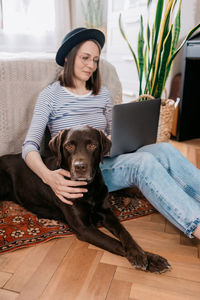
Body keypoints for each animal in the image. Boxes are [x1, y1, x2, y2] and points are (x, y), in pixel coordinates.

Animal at [0, 125, 170, 274]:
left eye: (92, 145)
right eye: (68, 146)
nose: (80, 166)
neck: (89, 188)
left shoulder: (106, 213)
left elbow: (124, 233)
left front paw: (140, 253)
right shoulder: (84, 228)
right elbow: (114, 242)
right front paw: (149, 259)